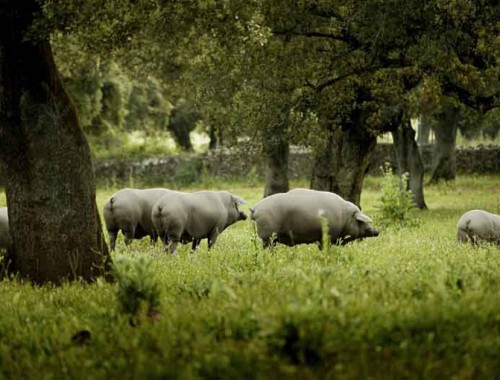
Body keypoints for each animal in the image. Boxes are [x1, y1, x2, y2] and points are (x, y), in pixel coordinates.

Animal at [250, 189, 378, 248]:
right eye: (360, 221)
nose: (377, 231)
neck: (344, 217)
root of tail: (256, 208)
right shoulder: (328, 237)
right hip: (267, 236)